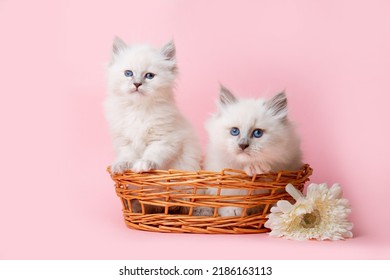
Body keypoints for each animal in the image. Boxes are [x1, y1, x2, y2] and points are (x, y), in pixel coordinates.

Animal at [103, 36, 201, 212]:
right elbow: (127, 156)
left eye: (149, 76)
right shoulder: (124, 141)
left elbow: (152, 155)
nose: (137, 84)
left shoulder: (165, 140)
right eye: (128, 73)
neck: (138, 109)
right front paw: (120, 166)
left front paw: (142, 165)